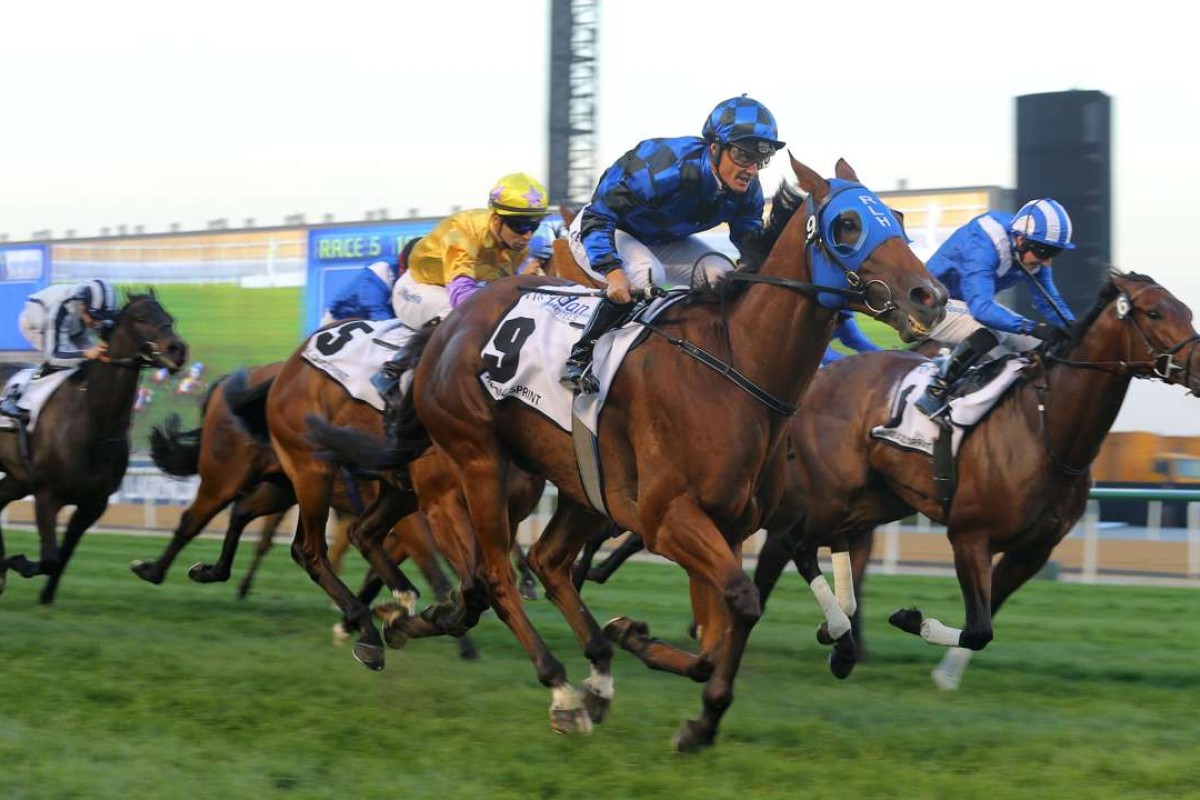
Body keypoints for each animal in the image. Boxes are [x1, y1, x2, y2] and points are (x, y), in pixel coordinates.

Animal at [0, 296, 186, 606]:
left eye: (169, 318)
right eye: (141, 318)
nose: (178, 350)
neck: (92, 420)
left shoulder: (94, 503)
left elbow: (61, 557)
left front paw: (45, 596)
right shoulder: (46, 494)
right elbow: (50, 558)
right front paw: (17, 562)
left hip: (18, 478)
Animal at [316, 158, 945, 753]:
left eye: (899, 217)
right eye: (848, 225)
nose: (930, 296)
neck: (733, 365)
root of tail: (448, 326)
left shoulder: (729, 525)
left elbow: (721, 627)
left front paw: (696, 713)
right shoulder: (667, 518)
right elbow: (740, 605)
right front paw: (645, 651)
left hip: (578, 481)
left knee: (543, 562)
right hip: (480, 461)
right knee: (494, 575)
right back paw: (561, 688)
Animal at [758, 271, 1200, 690]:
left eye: (1187, 312)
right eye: (1154, 313)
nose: (1197, 365)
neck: (1047, 428)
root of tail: (822, 375)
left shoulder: (1033, 550)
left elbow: (986, 622)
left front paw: (945, 676)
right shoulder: (970, 535)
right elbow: (979, 629)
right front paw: (912, 620)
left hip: (877, 498)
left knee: (837, 541)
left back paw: (839, 638)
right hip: (832, 492)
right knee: (798, 545)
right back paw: (838, 632)